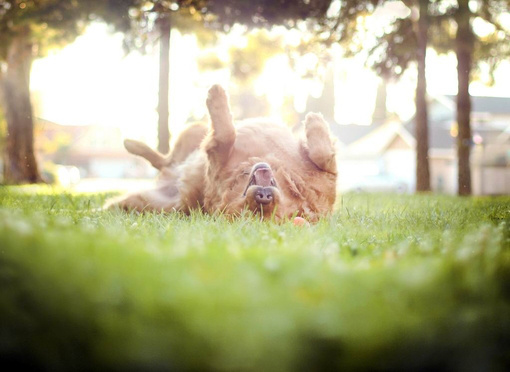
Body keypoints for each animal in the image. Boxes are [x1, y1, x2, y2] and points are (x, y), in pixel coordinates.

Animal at [106, 85, 338, 222]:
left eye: (253, 214)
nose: (264, 197)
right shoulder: (328, 178)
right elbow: (324, 156)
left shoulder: (216, 155)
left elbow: (226, 134)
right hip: (194, 131)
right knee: (164, 158)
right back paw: (131, 144)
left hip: (153, 203)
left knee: (163, 162)